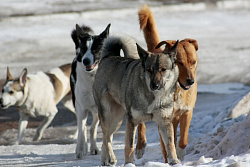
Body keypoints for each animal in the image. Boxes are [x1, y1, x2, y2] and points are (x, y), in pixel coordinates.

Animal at [70, 23, 110, 158]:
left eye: (96, 49)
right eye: (84, 49)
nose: (85, 60)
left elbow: (94, 129)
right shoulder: (81, 108)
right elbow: (82, 130)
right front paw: (80, 149)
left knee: (92, 127)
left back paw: (93, 147)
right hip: (78, 105)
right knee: (82, 128)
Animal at [92, 34, 180, 165]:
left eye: (163, 69)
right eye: (149, 70)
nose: (155, 85)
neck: (153, 97)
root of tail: (108, 57)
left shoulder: (165, 121)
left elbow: (170, 144)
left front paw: (174, 161)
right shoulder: (132, 121)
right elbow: (129, 145)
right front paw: (129, 164)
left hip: (117, 120)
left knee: (105, 138)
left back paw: (105, 161)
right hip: (110, 116)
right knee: (106, 136)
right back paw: (111, 158)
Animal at [136, 4, 198, 162]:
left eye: (193, 62)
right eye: (180, 63)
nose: (191, 81)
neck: (176, 89)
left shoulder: (187, 111)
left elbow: (183, 139)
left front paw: (180, 153)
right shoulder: (163, 118)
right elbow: (166, 146)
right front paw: (169, 159)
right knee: (140, 124)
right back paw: (140, 146)